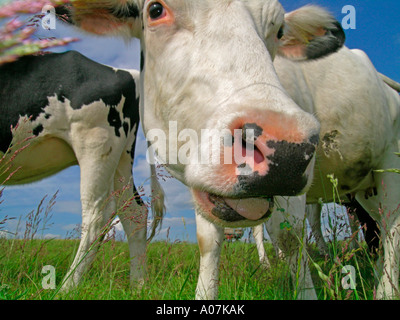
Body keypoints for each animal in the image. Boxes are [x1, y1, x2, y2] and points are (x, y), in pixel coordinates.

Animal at [0, 50, 165, 292]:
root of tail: (127, 73)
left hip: (95, 144)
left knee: (97, 213)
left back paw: (66, 287)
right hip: (121, 158)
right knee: (133, 212)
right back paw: (138, 285)